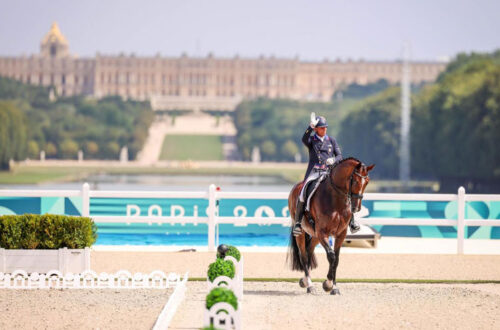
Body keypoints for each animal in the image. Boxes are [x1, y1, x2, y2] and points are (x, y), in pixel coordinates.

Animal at [288, 157, 374, 294]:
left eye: (367, 182)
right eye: (355, 181)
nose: (357, 207)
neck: (335, 198)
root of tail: (296, 187)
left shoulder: (340, 234)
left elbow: (336, 259)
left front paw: (334, 287)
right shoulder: (323, 232)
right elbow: (331, 256)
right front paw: (328, 284)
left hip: (315, 235)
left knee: (309, 251)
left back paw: (305, 281)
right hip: (302, 233)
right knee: (304, 256)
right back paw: (309, 285)